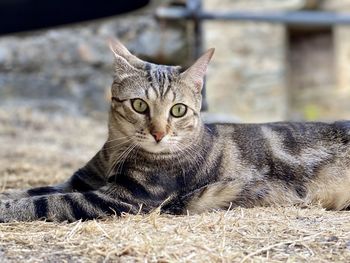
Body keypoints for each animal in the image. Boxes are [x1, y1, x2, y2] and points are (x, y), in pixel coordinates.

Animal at [0, 40, 350, 224]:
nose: (158, 133)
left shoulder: (123, 199)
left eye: (178, 110)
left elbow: (44, 203)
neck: (116, 151)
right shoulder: (80, 181)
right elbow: (31, 191)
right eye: (139, 105)